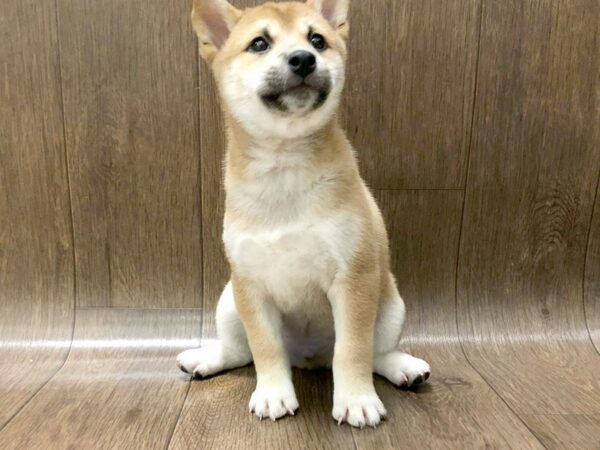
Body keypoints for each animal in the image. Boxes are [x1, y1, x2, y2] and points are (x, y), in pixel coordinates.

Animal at [175, 0, 432, 428]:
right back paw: (207, 357)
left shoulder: (354, 278)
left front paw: (356, 399)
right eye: (259, 43)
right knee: (239, 352)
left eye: (317, 40)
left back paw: (404, 368)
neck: (285, 164)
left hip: (391, 305)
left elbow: (353, 350)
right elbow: (265, 349)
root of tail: (310, 359)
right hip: (228, 303)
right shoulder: (250, 286)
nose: (303, 59)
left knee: (375, 354)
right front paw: (273, 393)